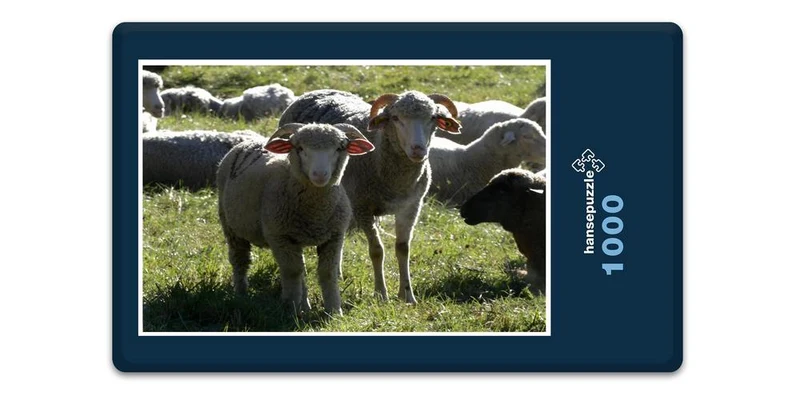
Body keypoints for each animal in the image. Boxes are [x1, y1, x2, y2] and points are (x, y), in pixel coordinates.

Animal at [216, 123, 375, 315]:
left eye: (339, 148)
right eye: (300, 148)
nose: (320, 174)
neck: (315, 212)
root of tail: (247, 141)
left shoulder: (334, 236)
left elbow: (327, 272)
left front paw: (334, 311)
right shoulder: (280, 236)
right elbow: (292, 271)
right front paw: (292, 310)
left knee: (302, 269)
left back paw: (304, 306)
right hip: (230, 225)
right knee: (240, 260)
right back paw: (241, 294)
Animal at [279, 89, 462, 304]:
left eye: (433, 117)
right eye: (395, 118)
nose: (418, 150)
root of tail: (315, 92)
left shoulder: (411, 206)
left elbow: (403, 248)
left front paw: (407, 295)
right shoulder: (363, 207)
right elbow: (377, 251)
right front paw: (381, 294)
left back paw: (338, 272)